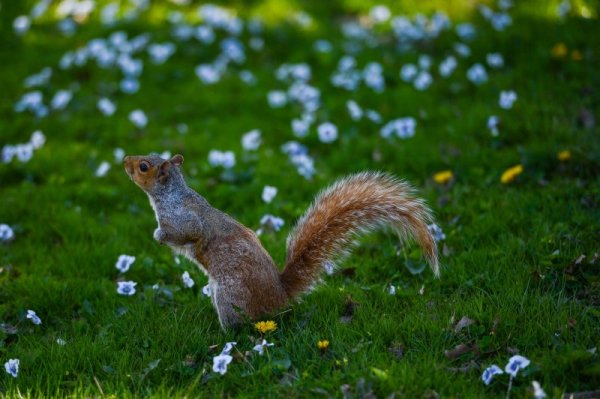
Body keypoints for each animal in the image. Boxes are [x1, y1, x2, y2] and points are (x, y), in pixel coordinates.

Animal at [124, 155, 438, 330]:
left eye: (143, 166)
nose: (125, 159)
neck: (169, 195)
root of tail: (280, 297)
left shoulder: (186, 221)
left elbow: (189, 233)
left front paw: (159, 236)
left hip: (230, 295)